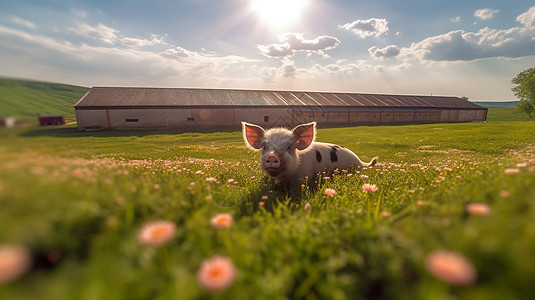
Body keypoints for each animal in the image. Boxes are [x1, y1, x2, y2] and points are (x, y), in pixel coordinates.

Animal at [243, 120, 376, 184]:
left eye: (289, 147)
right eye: (265, 147)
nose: (271, 156)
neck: (286, 177)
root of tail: (360, 162)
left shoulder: (303, 176)